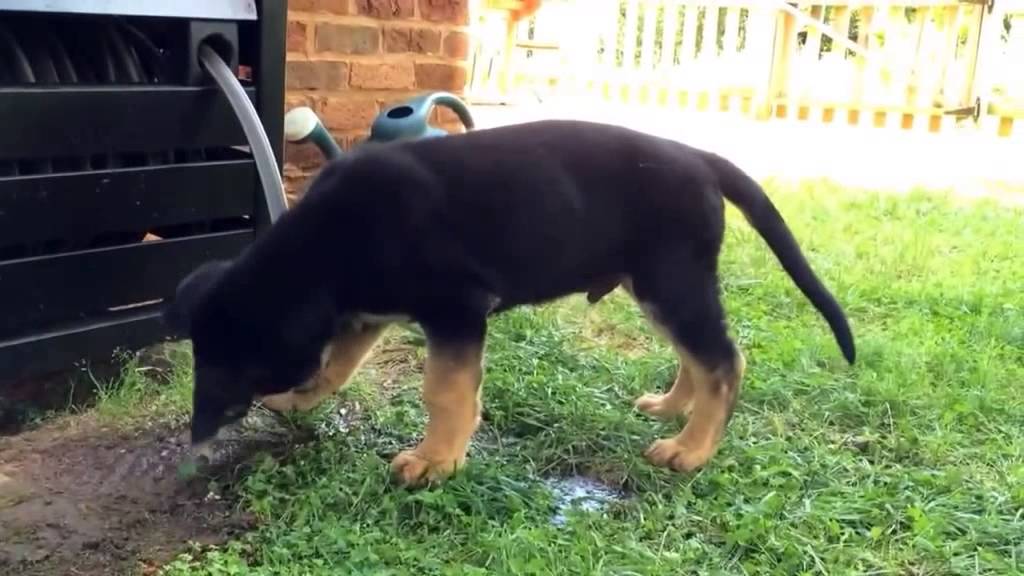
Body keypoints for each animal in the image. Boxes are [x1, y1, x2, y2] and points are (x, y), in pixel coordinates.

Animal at [163, 119, 856, 483]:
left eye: (228, 370)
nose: (195, 446)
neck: (320, 250)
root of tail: (702, 157)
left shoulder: (457, 309)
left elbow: (445, 392)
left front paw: (435, 461)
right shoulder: (363, 312)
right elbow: (336, 365)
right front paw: (299, 399)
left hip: (671, 281)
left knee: (724, 361)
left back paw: (692, 448)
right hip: (657, 285)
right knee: (699, 356)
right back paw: (671, 409)